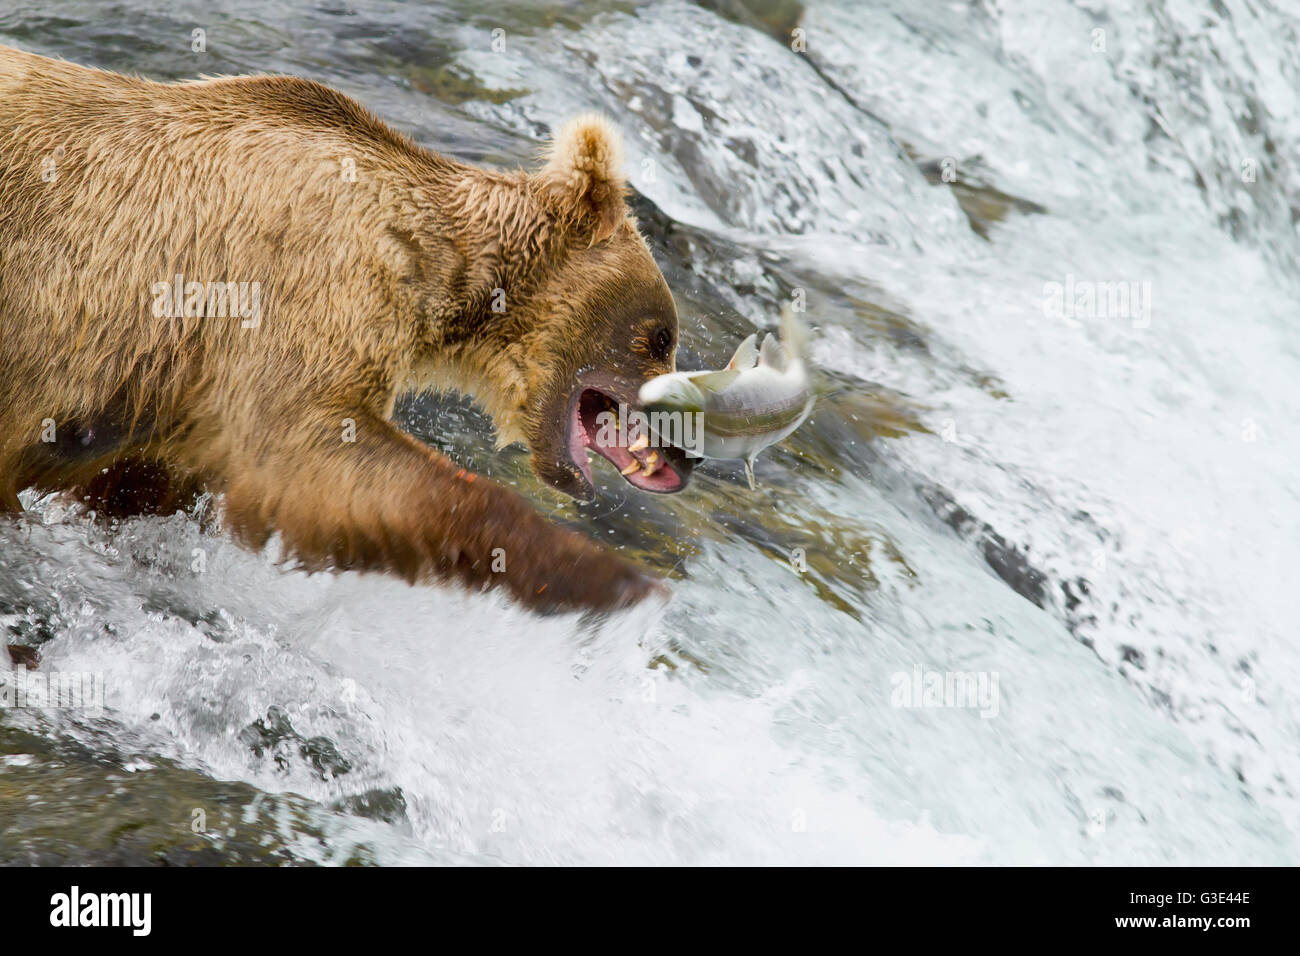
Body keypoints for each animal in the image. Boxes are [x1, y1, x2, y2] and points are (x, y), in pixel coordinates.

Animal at [0, 44, 696, 613]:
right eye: (660, 336)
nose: (684, 454)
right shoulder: (298, 282)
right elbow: (308, 449)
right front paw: (606, 577)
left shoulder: (176, 387)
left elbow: (140, 482)